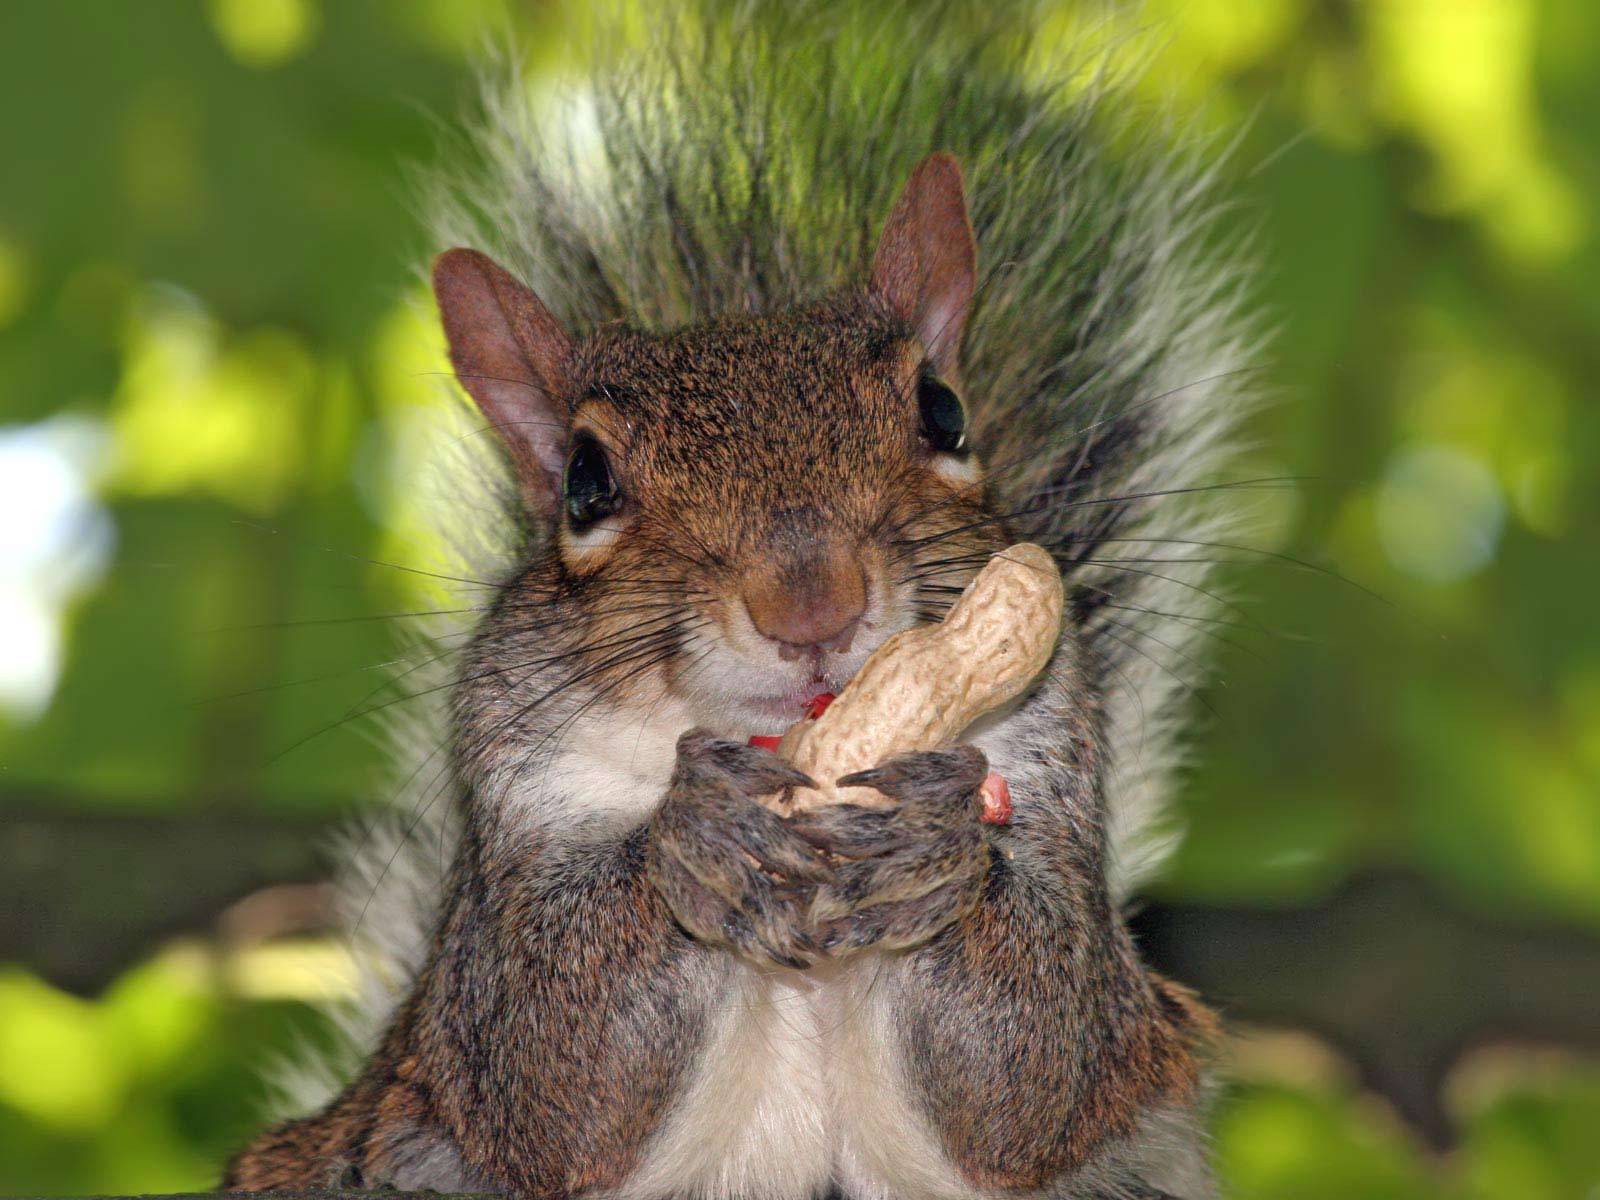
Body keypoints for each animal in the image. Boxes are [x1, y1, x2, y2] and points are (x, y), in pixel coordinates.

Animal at [222, 4, 1248, 1196]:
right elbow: (550, 1059)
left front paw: (935, 843)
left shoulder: (1052, 776)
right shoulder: (507, 860)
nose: (812, 606)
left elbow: (1038, 1065)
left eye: (944, 412)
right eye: (584, 483)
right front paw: (696, 837)